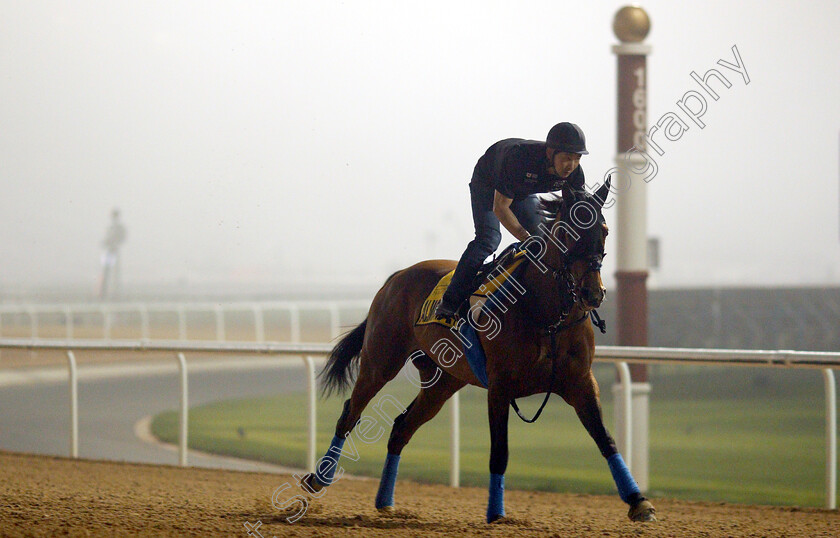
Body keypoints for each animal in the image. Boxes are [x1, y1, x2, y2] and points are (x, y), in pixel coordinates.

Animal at [300, 178, 656, 520]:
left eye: (604, 231)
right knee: (350, 413)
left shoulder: (580, 381)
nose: (592, 293)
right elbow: (499, 452)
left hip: (443, 381)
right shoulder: (500, 386)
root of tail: (396, 277)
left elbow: (605, 439)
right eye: (568, 231)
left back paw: (385, 501)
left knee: (401, 428)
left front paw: (638, 501)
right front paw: (496, 513)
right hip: (381, 361)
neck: (546, 314)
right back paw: (319, 478)